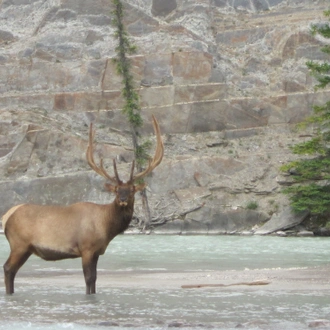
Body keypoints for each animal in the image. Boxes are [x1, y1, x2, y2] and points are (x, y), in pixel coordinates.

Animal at [1, 115, 164, 294]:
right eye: (116, 190)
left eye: (132, 190)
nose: (123, 199)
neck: (106, 226)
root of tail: (6, 216)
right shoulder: (86, 248)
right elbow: (88, 279)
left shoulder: (97, 252)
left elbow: (95, 280)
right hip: (19, 244)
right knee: (8, 268)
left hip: (25, 248)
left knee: (12, 270)